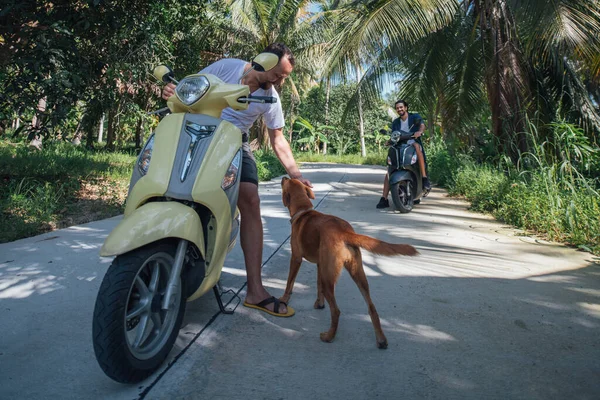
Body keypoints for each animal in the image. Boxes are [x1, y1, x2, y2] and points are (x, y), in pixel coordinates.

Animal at [280, 177, 418, 348]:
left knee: (336, 311)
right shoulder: (320, 265)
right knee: (372, 307)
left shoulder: (296, 258)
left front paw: (283, 300)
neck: (303, 211)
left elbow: (289, 283)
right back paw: (381, 340)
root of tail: (344, 232)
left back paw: (329, 336)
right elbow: (318, 287)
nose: (283, 177)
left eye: (288, 181)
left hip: (330, 279)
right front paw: (319, 304)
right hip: (357, 273)